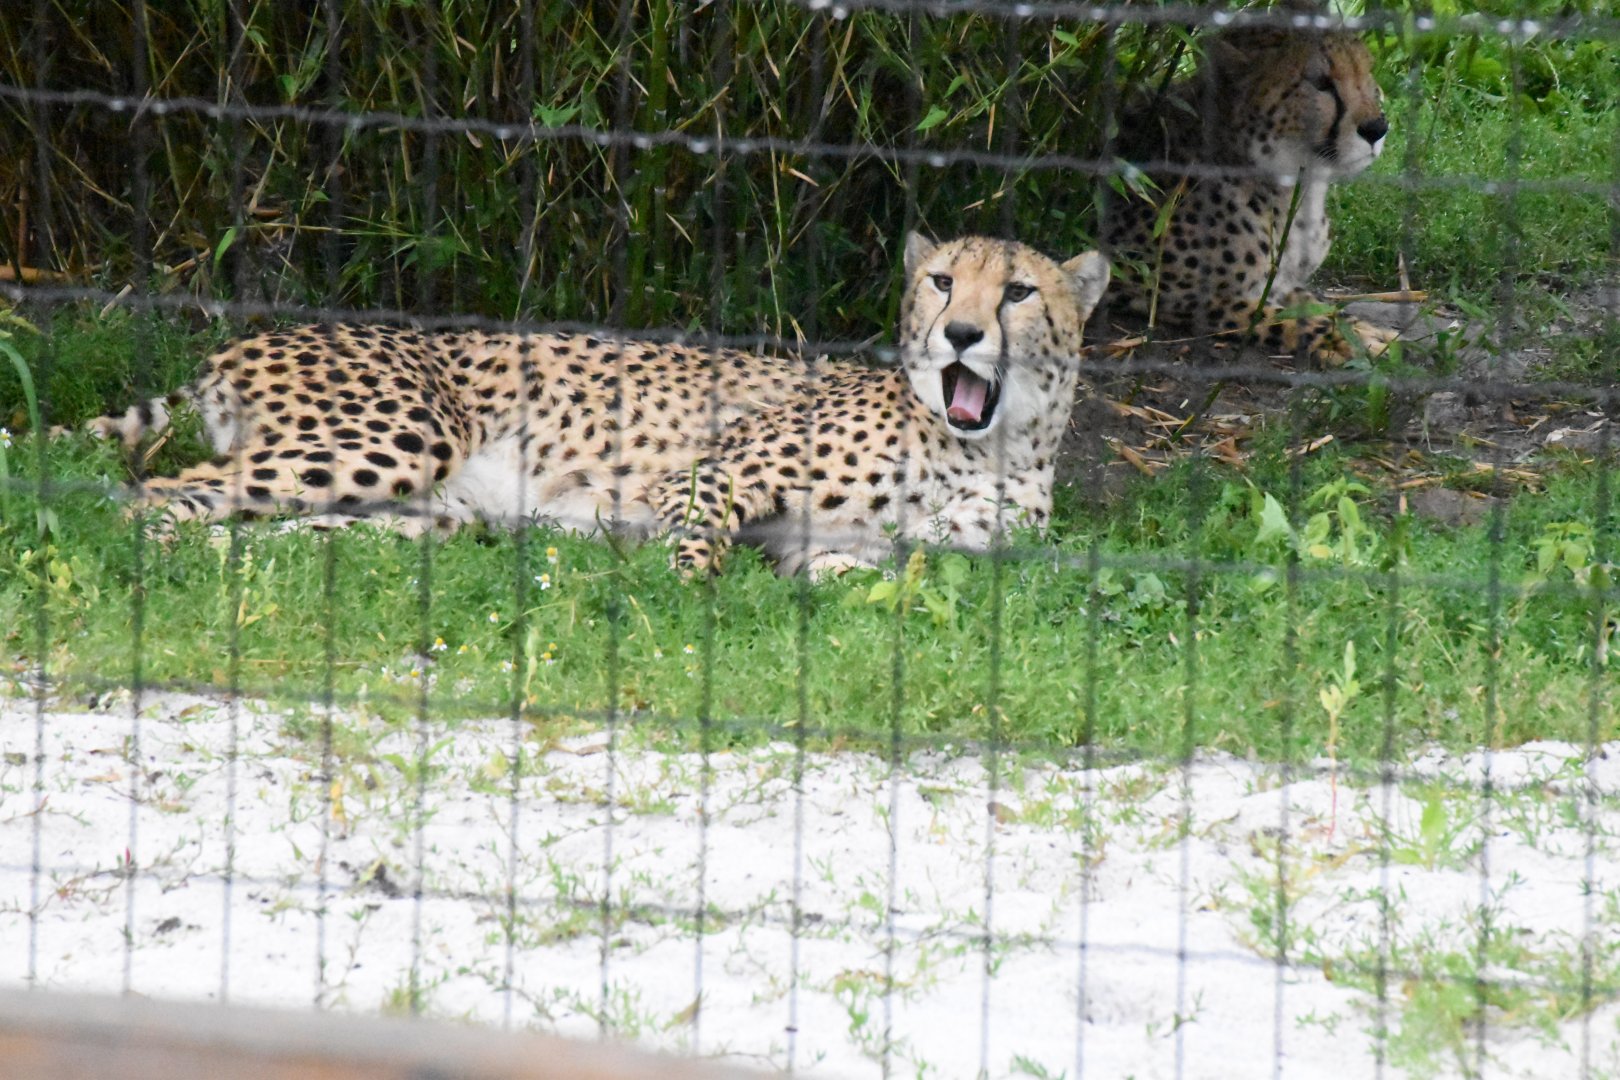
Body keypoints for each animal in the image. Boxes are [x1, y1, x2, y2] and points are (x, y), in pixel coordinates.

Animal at [651, 233, 1109, 578]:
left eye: (1018, 292)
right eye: (943, 282)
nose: (961, 333)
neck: (981, 450)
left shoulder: (809, 551)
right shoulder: (708, 475)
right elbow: (697, 529)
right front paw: (688, 582)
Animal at [1100, 2, 1397, 365]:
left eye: (1367, 73)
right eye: (1320, 82)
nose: (1377, 128)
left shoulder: (1283, 281)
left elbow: (1316, 303)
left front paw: (1359, 329)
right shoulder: (1150, 285)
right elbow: (1279, 317)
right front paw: (1343, 340)